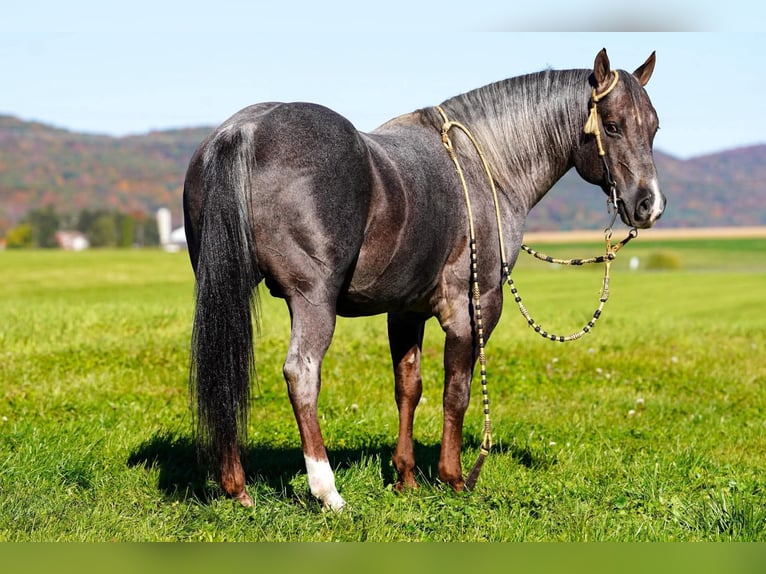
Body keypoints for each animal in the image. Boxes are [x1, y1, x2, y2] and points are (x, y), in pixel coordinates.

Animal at [183, 48, 665, 511]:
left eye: (654, 127)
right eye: (613, 126)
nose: (649, 205)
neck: (486, 167)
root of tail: (243, 131)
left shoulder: (405, 311)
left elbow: (408, 388)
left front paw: (406, 478)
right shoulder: (475, 306)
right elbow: (458, 390)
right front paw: (454, 477)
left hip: (226, 290)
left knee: (227, 370)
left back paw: (236, 487)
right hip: (312, 299)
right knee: (301, 373)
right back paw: (327, 492)